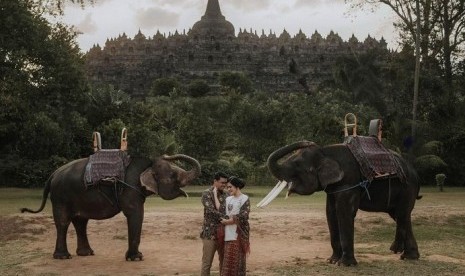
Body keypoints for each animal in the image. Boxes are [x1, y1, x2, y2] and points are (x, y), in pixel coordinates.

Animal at [20, 153, 200, 260]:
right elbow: (136, 214)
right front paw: (136, 258)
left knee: (80, 222)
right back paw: (64, 257)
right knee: (63, 222)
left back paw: (86, 254)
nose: (167, 154)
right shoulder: (130, 189)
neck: (146, 165)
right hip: (61, 196)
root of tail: (53, 174)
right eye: (173, 175)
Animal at [264, 141, 420, 266]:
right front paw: (331, 261)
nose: (309, 142)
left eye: (297, 165)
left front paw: (344, 264)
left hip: (407, 187)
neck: (326, 152)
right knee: (401, 216)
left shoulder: (348, 184)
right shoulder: (334, 188)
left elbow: (344, 212)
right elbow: (330, 213)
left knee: (401, 214)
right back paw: (410, 257)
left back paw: (401, 253)